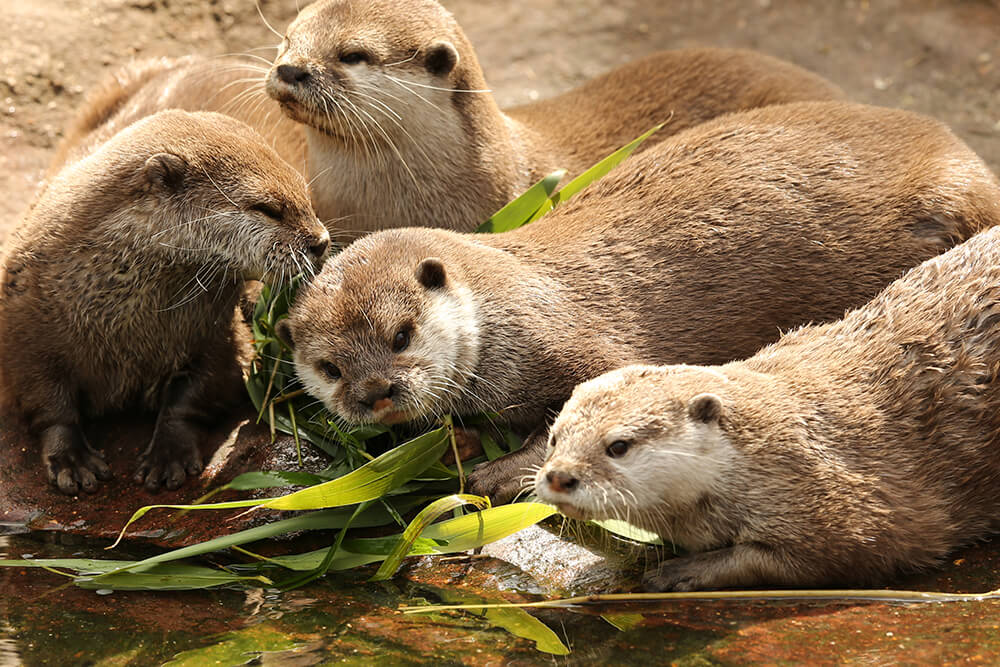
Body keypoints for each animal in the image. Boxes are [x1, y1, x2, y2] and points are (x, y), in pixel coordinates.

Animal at [0, 111, 330, 496]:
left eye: (306, 194)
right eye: (267, 208)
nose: (321, 241)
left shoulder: (218, 337)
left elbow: (194, 395)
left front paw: (168, 454)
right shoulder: (23, 324)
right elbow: (48, 402)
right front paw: (71, 459)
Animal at [278, 102, 1000, 504]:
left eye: (401, 334)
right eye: (330, 368)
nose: (376, 394)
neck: (510, 300)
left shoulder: (582, 344)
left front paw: (503, 473)